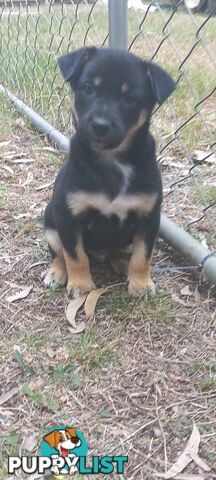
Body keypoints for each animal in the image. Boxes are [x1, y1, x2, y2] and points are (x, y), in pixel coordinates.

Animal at [44, 47, 176, 296]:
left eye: (130, 98)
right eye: (87, 89)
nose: (100, 125)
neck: (111, 160)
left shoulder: (148, 218)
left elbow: (143, 256)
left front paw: (141, 284)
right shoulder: (69, 218)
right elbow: (75, 255)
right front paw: (81, 285)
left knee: (120, 252)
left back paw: (122, 264)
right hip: (50, 222)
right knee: (60, 253)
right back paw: (57, 272)